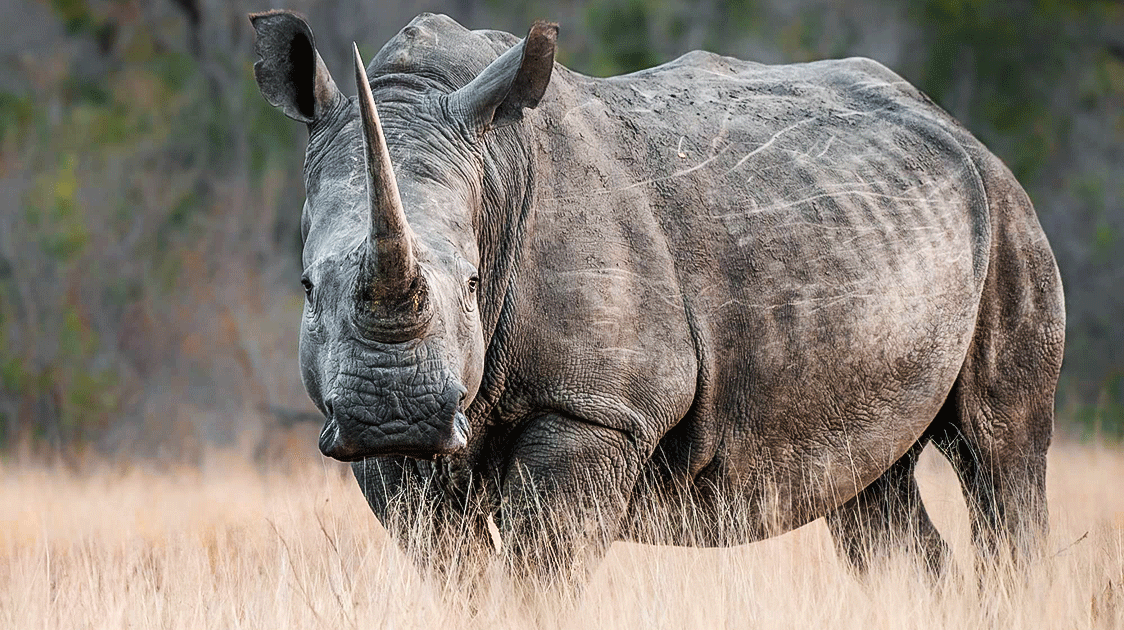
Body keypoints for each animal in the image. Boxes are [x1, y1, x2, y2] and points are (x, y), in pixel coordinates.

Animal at [250, 10, 1065, 584]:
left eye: (476, 284)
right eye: (308, 287)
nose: (397, 413)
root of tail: (954, 127)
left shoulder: (599, 407)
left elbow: (539, 566)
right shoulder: (372, 440)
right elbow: (452, 568)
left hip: (1005, 212)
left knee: (1001, 455)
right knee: (871, 492)